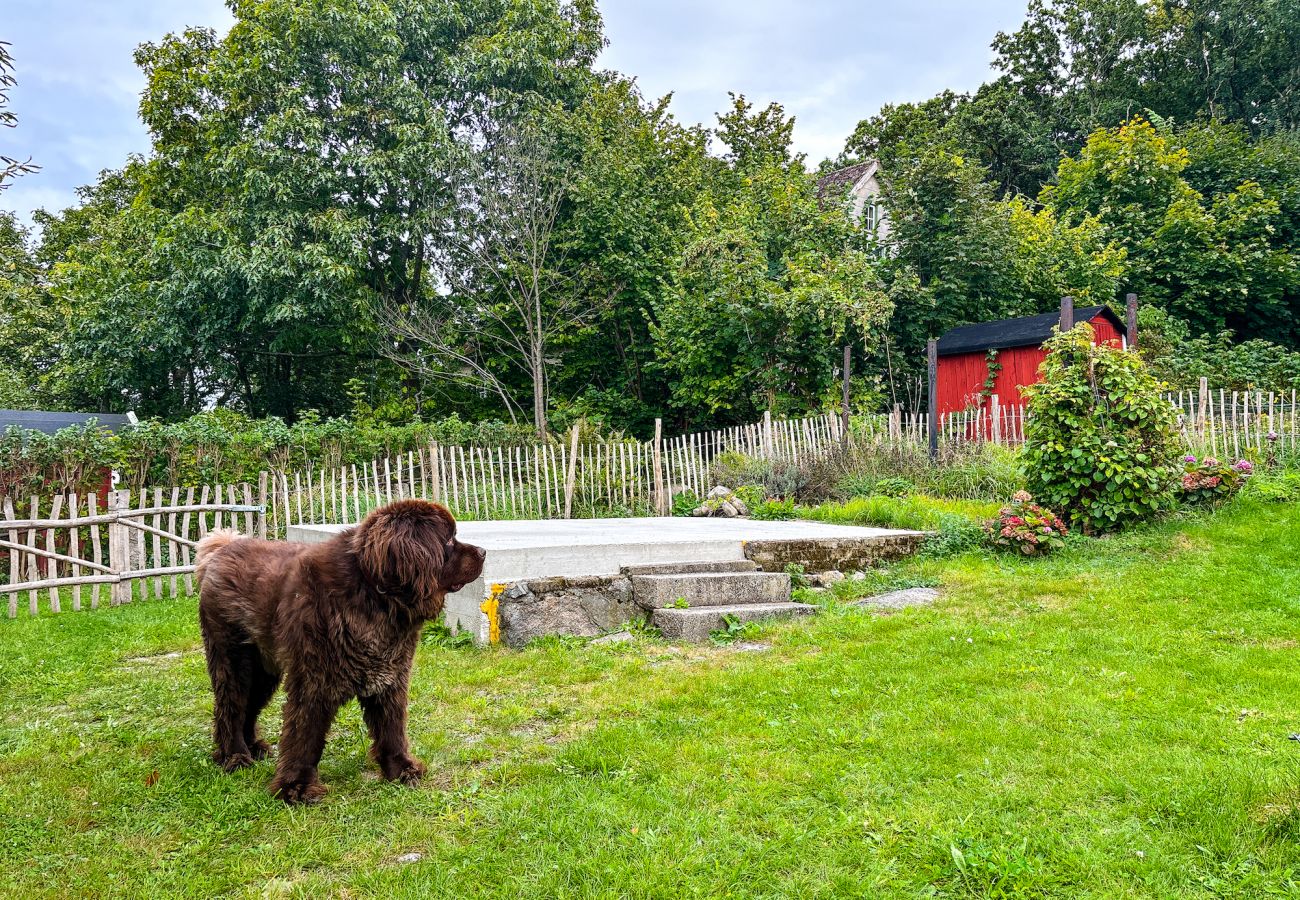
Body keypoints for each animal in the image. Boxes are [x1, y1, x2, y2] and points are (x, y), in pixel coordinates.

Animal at [189, 499, 480, 801]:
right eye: (449, 540)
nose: (482, 552)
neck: (377, 599)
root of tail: (222, 549)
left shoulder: (390, 677)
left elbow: (392, 729)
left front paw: (401, 770)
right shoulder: (313, 682)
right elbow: (304, 736)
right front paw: (295, 786)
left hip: (264, 668)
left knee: (249, 706)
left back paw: (254, 747)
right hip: (233, 659)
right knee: (231, 707)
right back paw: (234, 756)